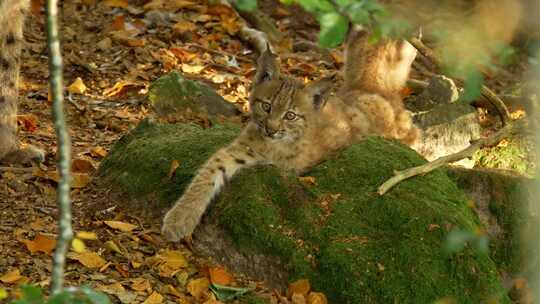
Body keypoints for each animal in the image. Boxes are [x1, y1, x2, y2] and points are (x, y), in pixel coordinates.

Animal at [160, 29, 418, 242]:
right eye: (266, 106)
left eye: (291, 115)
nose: (271, 129)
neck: (275, 144)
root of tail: (371, 89)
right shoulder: (241, 149)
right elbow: (209, 171)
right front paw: (180, 217)